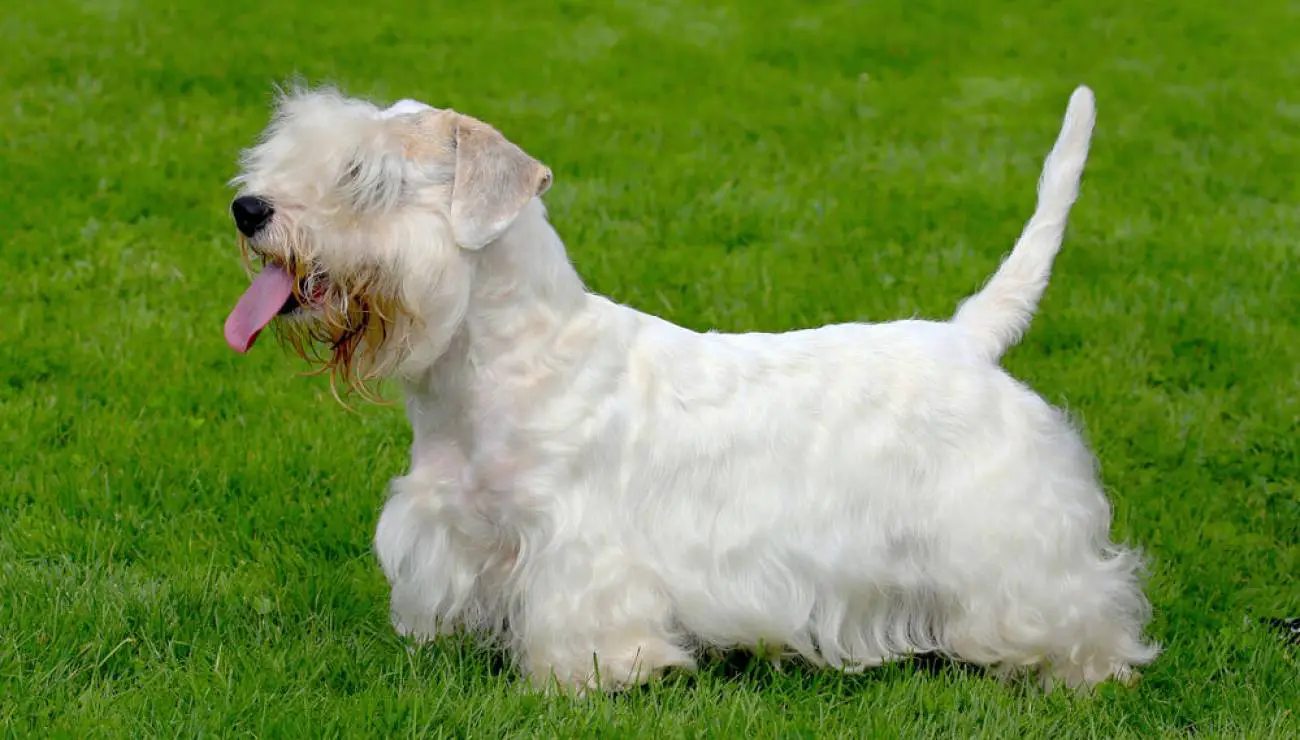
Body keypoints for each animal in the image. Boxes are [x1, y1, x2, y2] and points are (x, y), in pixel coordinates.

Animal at [220, 86, 1159, 691]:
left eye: (365, 178)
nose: (248, 209)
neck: (496, 367)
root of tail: (969, 337)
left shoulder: (579, 550)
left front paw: (585, 679)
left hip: (1012, 542)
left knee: (1076, 600)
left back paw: (1087, 669)